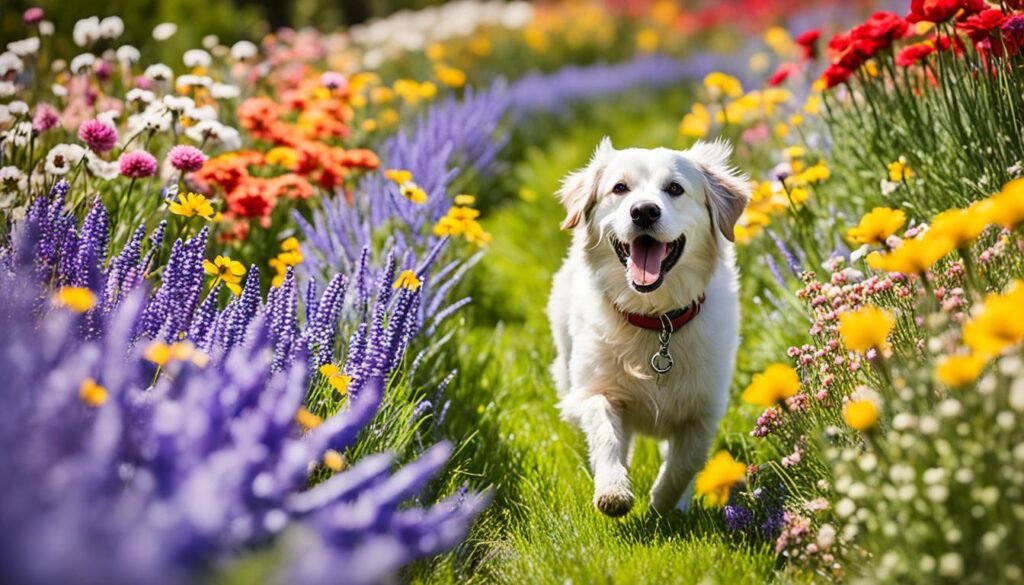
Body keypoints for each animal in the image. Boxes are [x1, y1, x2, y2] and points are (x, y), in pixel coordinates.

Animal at [548, 137, 749, 516]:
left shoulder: (704, 410)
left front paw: (662, 506)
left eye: (675, 188)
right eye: (619, 188)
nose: (643, 211)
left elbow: (686, 464)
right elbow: (606, 433)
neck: (656, 321)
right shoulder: (595, 391)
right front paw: (613, 490)